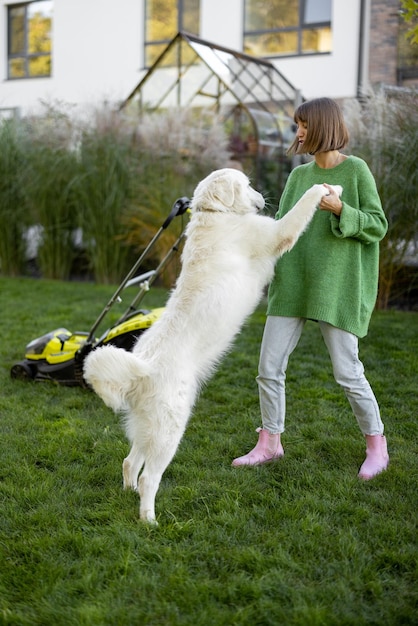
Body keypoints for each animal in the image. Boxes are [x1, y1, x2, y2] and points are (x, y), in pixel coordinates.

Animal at [83, 166, 342, 520]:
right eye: (246, 185)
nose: (262, 200)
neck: (215, 214)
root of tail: (141, 368)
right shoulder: (278, 234)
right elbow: (302, 206)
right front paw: (325, 188)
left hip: (148, 428)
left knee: (129, 461)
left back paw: (129, 494)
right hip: (169, 431)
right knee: (150, 476)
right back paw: (149, 519)